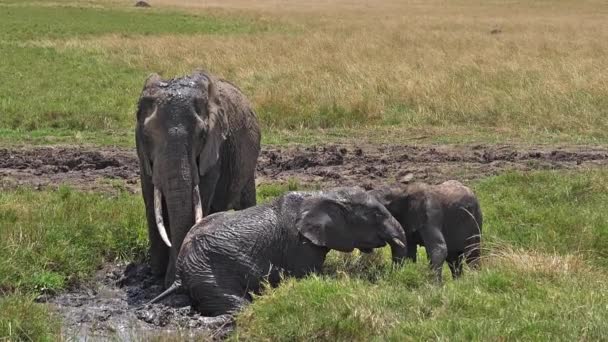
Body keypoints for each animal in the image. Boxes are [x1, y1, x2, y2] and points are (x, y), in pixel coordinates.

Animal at [135, 69, 262, 286]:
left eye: (202, 134)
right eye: (147, 135)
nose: (172, 281)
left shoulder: (214, 151)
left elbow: (201, 194)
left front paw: (170, 280)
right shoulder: (143, 156)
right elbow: (152, 203)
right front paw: (156, 273)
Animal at [148, 187, 406, 316]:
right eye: (376, 215)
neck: (323, 194)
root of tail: (180, 272)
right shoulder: (299, 245)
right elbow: (307, 275)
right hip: (207, 272)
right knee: (238, 306)